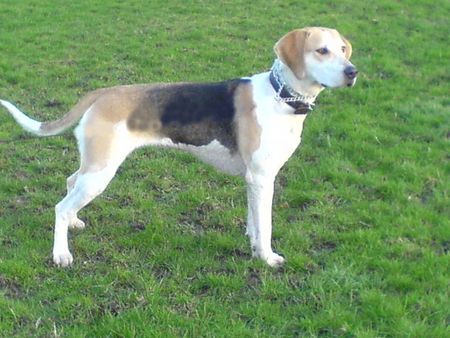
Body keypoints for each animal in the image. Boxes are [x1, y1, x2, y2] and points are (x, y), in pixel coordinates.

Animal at [0, 27, 358, 266]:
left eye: (343, 49)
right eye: (322, 51)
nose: (352, 71)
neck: (280, 95)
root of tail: (103, 93)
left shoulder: (255, 180)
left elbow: (255, 221)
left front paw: (254, 244)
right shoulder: (262, 177)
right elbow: (266, 225)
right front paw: (267, 257)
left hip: (94, 168)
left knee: (70, 184)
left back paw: (75, 222)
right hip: (100, 171)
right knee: (60, 207)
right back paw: (61, 253)